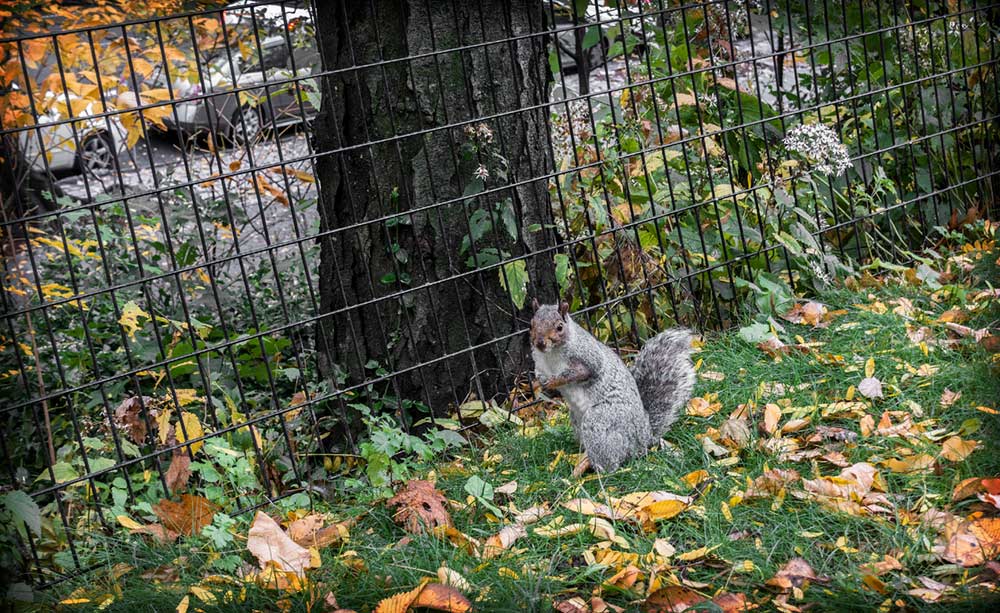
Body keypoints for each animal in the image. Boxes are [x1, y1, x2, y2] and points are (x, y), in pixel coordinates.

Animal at [532, 298, 696, 470]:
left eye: (559, 327)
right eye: (532, 324)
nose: (540, 343)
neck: (551, 355)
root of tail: (645, 437)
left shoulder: (588, 358)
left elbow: (580, 373)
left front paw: (554, 381)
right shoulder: (540, 363)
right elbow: (539, 374)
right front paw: (539, 383)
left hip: (600, 420)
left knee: (612, 458)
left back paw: (597, 468)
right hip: (577, 419)